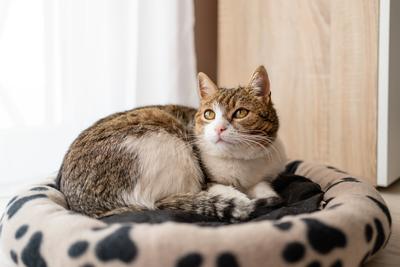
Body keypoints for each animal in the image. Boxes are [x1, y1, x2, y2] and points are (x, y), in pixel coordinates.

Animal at [57, 66, 286, 222]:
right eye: (209, 114)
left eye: (240, 113)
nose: (219, 128)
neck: (240, 163)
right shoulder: (207, 182)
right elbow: (233, 193)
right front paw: (242, 196)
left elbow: (266, 189)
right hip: (172, 150)